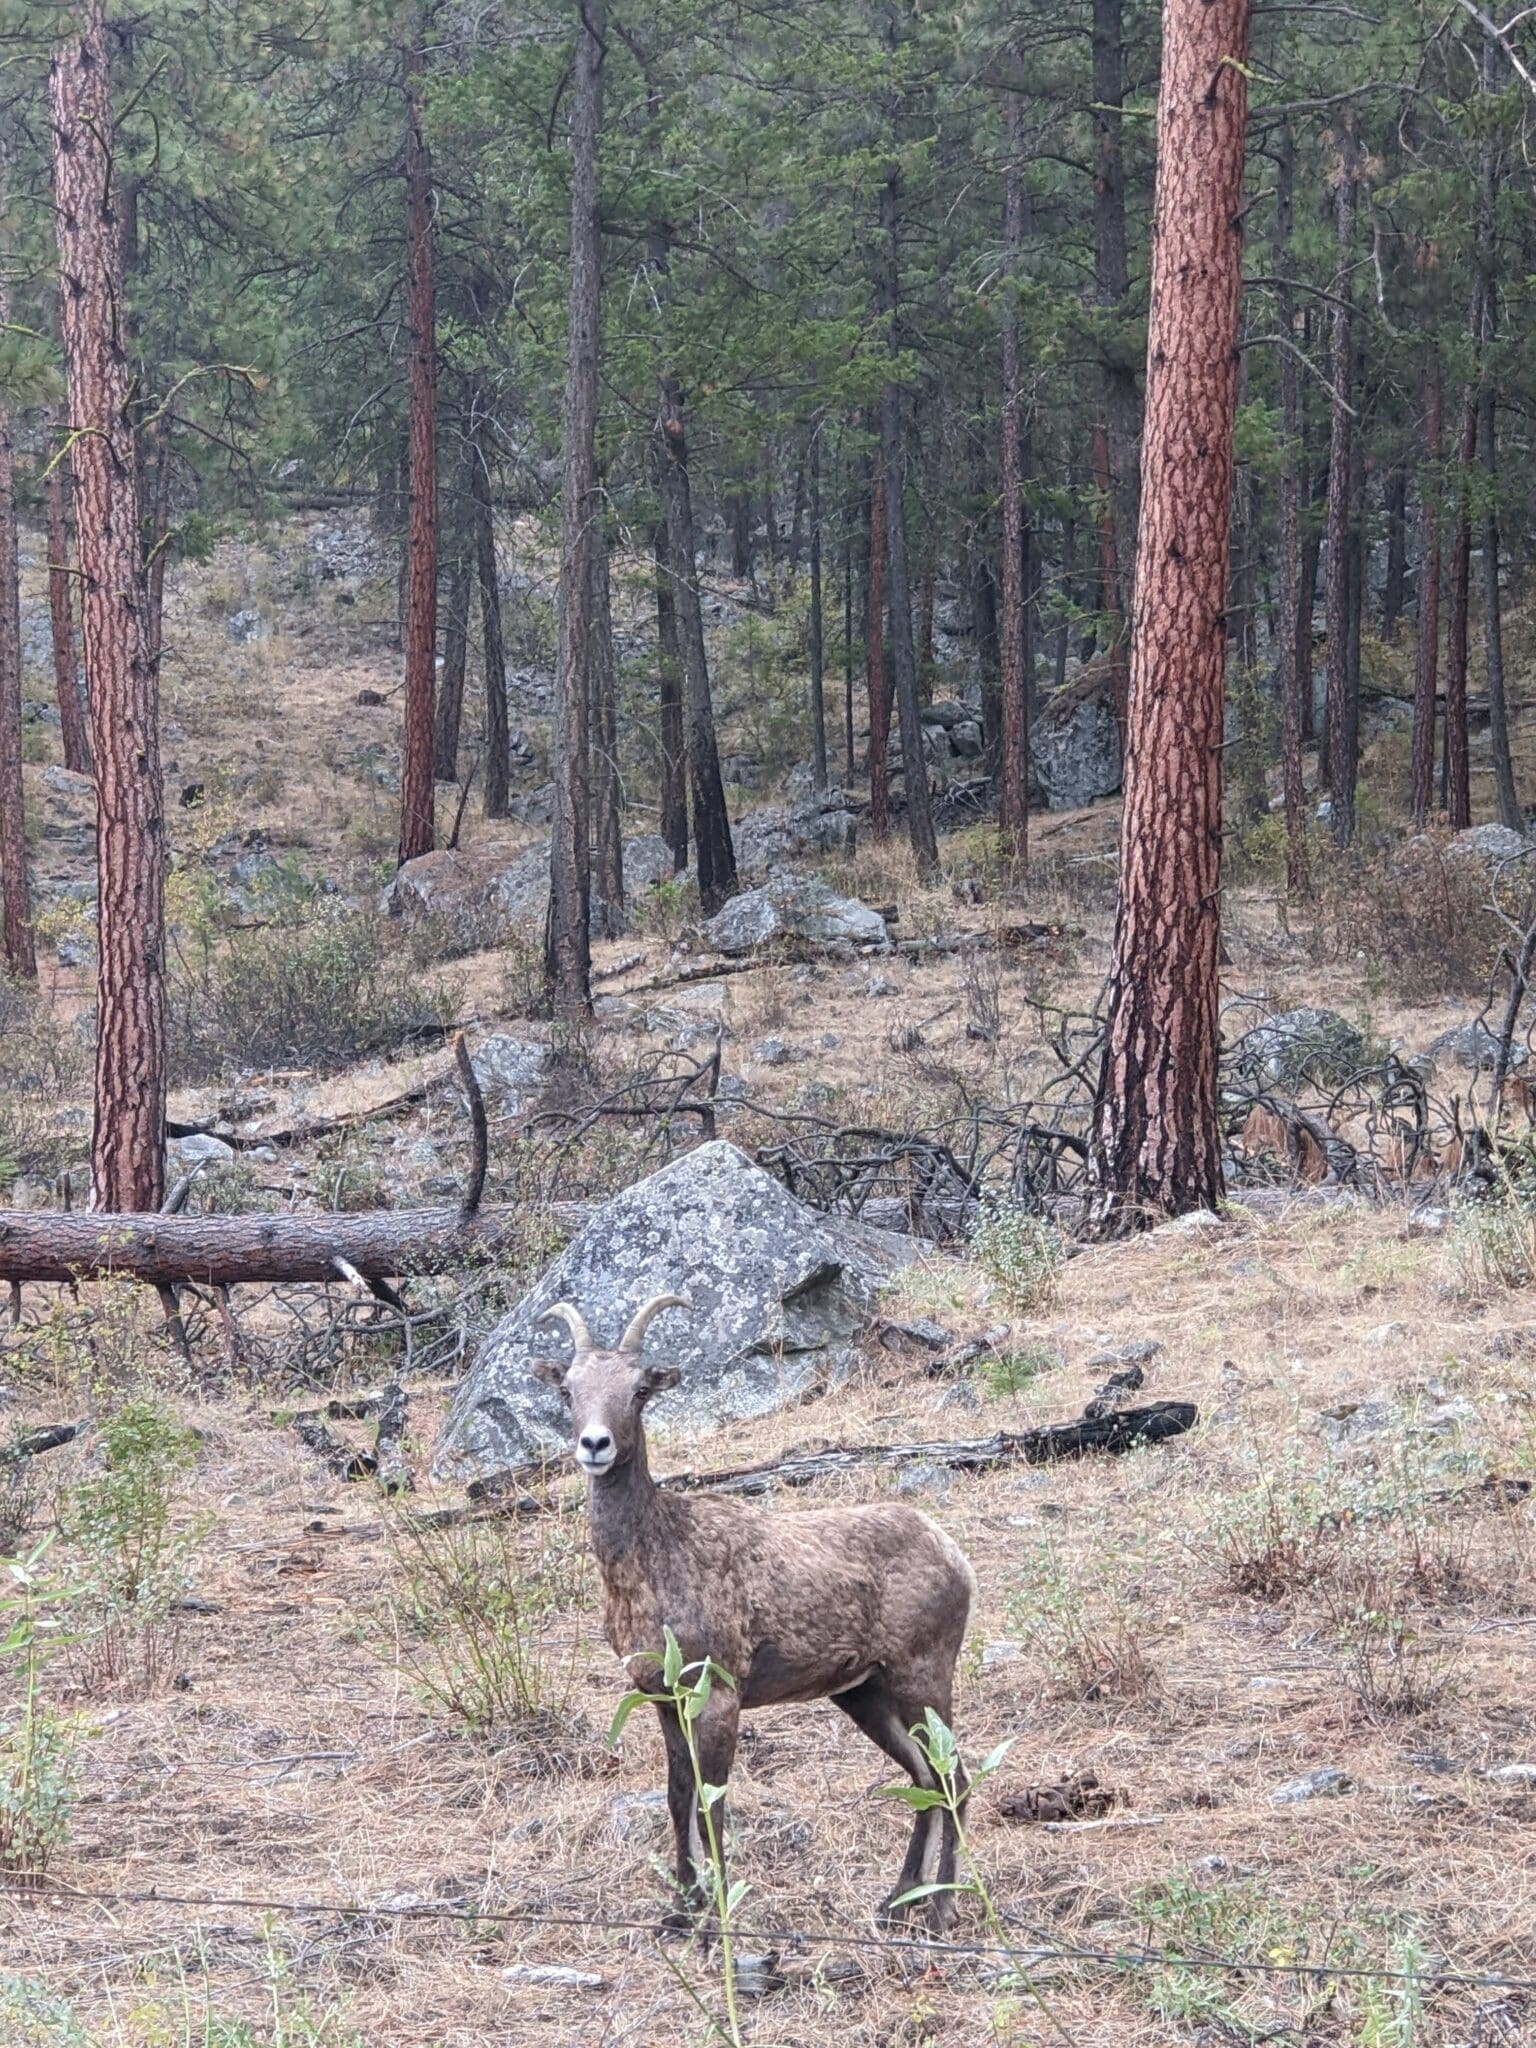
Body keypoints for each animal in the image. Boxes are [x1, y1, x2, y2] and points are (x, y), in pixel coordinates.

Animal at [536, 1286, 978, 1925]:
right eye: (567, 1389)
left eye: (640, 1389)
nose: (595, 1444)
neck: (654, 1562)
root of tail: (955, 1557)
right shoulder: (664, 1699)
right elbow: (678, 1796)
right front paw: (681, 1909)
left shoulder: (719, 1694)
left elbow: (712, 1807)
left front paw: (716, 1912)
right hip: (864, 1694)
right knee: (922, 1777)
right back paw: (895, 1902)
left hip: (922, 1675)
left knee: (954, 1778)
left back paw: (942, 1910)